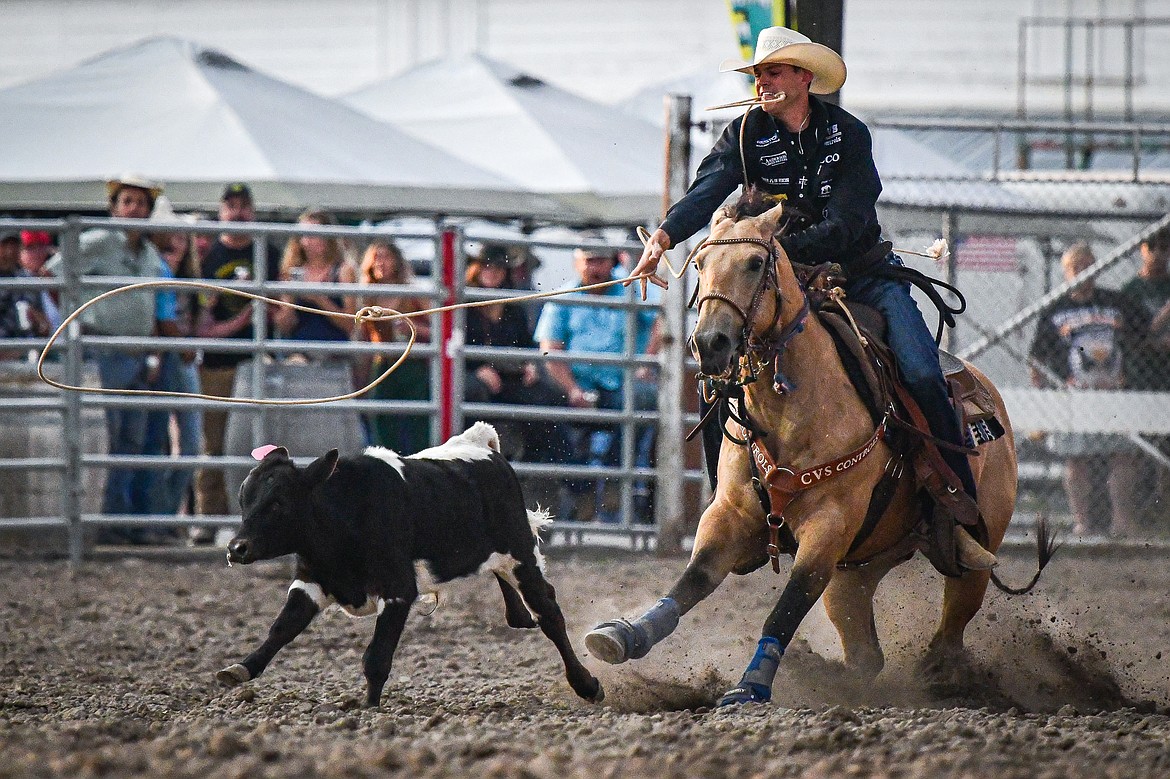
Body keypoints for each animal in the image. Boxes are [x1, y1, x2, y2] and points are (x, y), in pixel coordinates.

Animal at [217, 421, 603, 706]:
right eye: (244, 498)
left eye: (278, 503)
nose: (237, 548)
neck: (345, 514)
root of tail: (482, 445)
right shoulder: (310, 582)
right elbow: (282, 628)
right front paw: (240, 668)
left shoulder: (398, 590)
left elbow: (376, 658)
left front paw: (368, 708)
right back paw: (519, 616)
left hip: (520, 551)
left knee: (549, 613)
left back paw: (586, 684)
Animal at [585, 195, 1053, 701]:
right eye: (700, 264)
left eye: (755, 263)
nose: (710, 342)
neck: (791, 408)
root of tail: (990, 395)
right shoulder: (729, 512)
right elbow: (694, 578)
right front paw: (622, 634)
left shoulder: (829, 525)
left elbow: (789, 603)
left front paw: (751, 684)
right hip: (855, 572)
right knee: (867, 654)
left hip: (976, 554)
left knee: (951, 630)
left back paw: (940, 677)